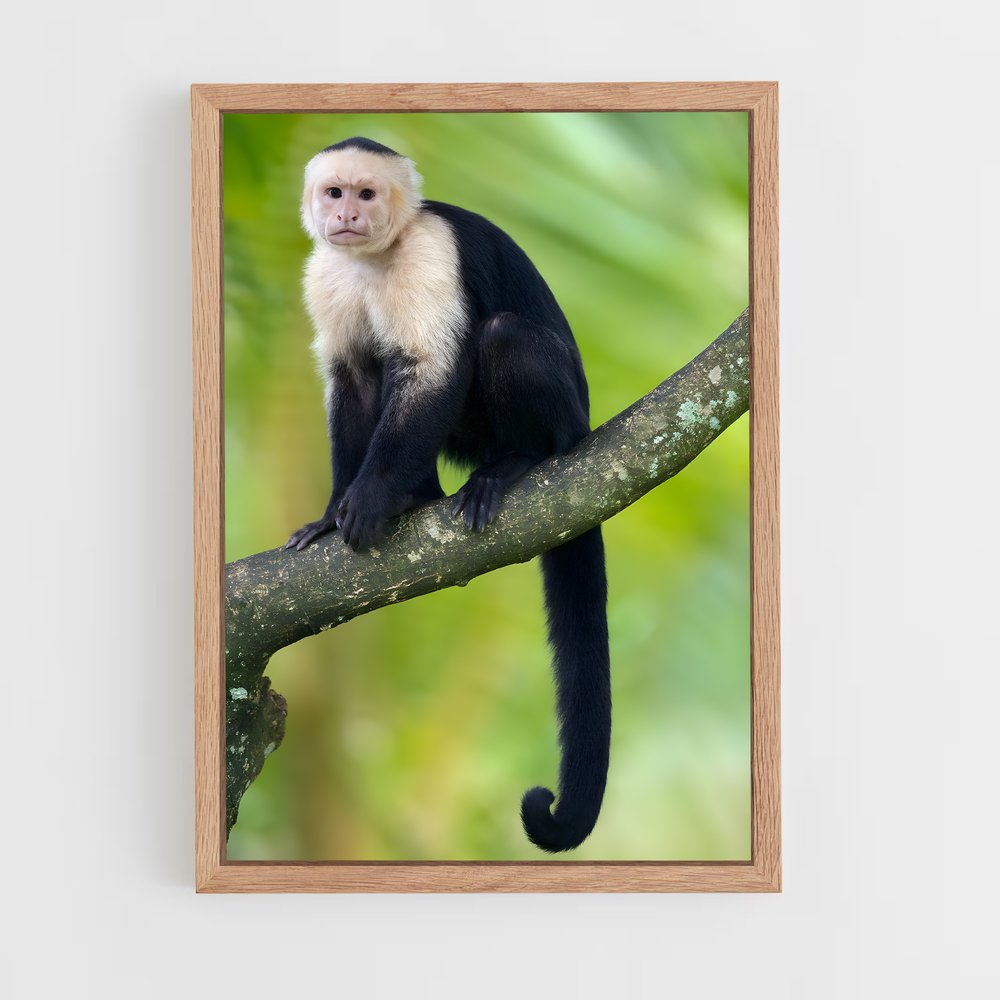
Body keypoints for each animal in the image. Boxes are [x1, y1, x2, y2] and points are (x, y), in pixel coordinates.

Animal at [285, 137, 610, 853]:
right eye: (334, 192)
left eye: (367, 194)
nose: (346, 215)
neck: (375, 258)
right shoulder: (325, 274)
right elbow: (352, 376)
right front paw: (335, 513)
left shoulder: (431, 251)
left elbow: (433, 367)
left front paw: (370, 498)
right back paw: (419, 494)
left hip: (566, 417)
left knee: (500, 335)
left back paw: (518, 461)